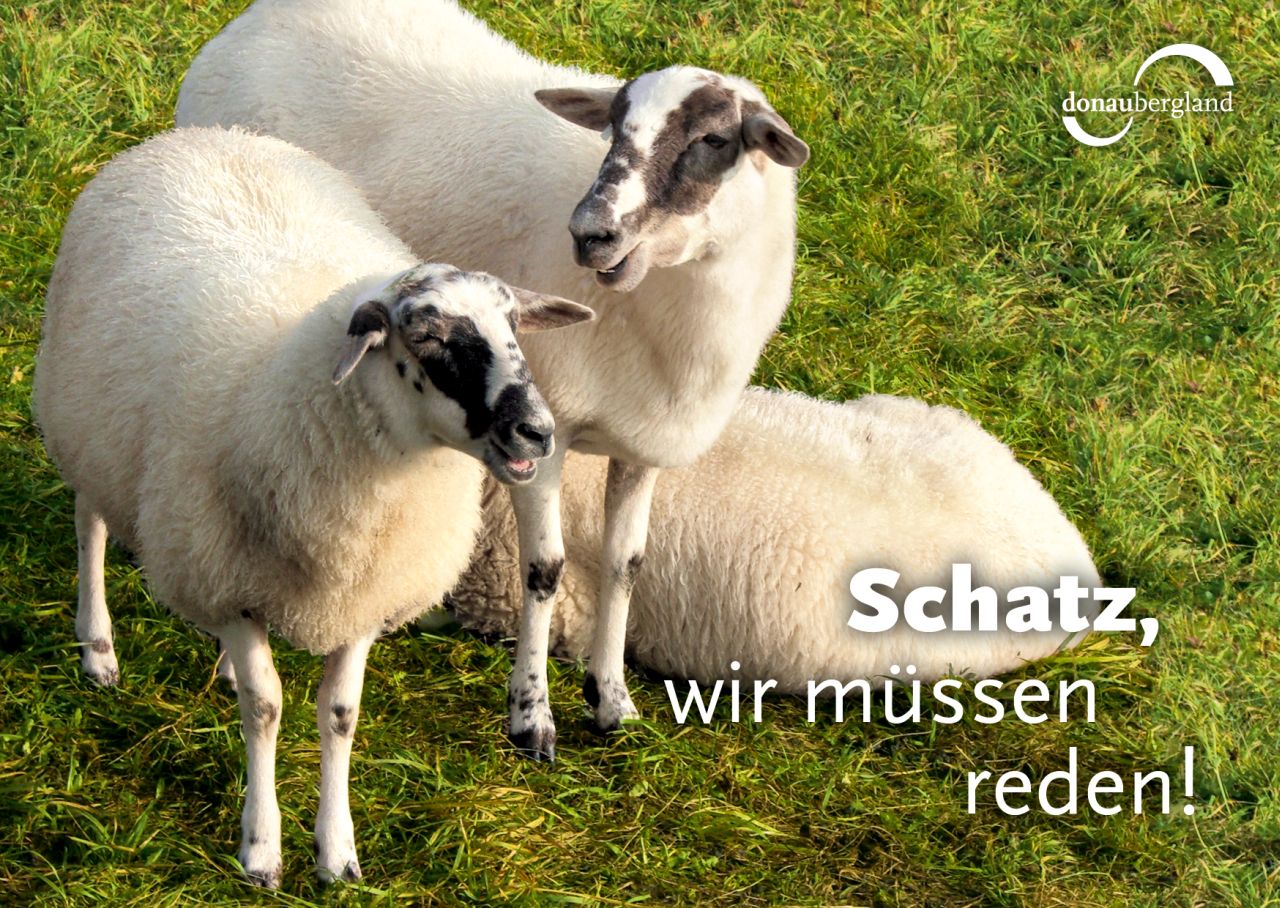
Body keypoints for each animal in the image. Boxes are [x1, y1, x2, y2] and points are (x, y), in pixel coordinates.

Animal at [33, 127, 592, 887]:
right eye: (430, 339)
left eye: (515, 326)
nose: (538, 430)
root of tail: (206, 136)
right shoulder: (227, 580)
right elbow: (266, 708)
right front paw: (261, 849)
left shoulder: (365, 592)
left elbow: (341, 713)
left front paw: (337, 850)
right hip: (87, 426)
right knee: (89, 525)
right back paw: (98, 648)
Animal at [176, 0, 812, 761]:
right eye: (611, 128)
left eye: (715, 138)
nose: (590, 232)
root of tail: (261, 14)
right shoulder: (541, 436)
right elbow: (546, 571)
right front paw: (531, 716)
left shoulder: (643, 445)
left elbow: (626, 564)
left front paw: (612, 698)